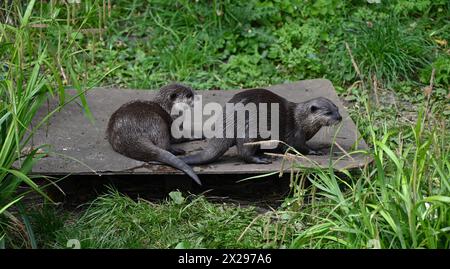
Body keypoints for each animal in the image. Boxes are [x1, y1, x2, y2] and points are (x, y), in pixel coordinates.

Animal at [179, 88, 342, 164]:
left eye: (337, 109)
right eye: (328, 112)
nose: (339, 118)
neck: (301, 120)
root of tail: (228, 121)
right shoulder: (296, 133)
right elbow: (299, 146)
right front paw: (315, 151)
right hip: (250, 131)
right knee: (244, 152)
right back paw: (261, 159)